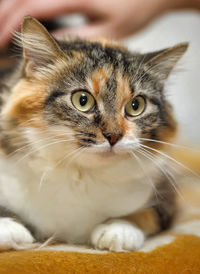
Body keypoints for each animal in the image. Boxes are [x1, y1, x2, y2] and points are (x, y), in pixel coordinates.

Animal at [0, 16, 188, 253]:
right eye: (83, 100)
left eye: (136, 106)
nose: (113, 136)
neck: (81, 175)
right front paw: (10, 228)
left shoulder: (164, 195)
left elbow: (144, 214)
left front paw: (118, 230)